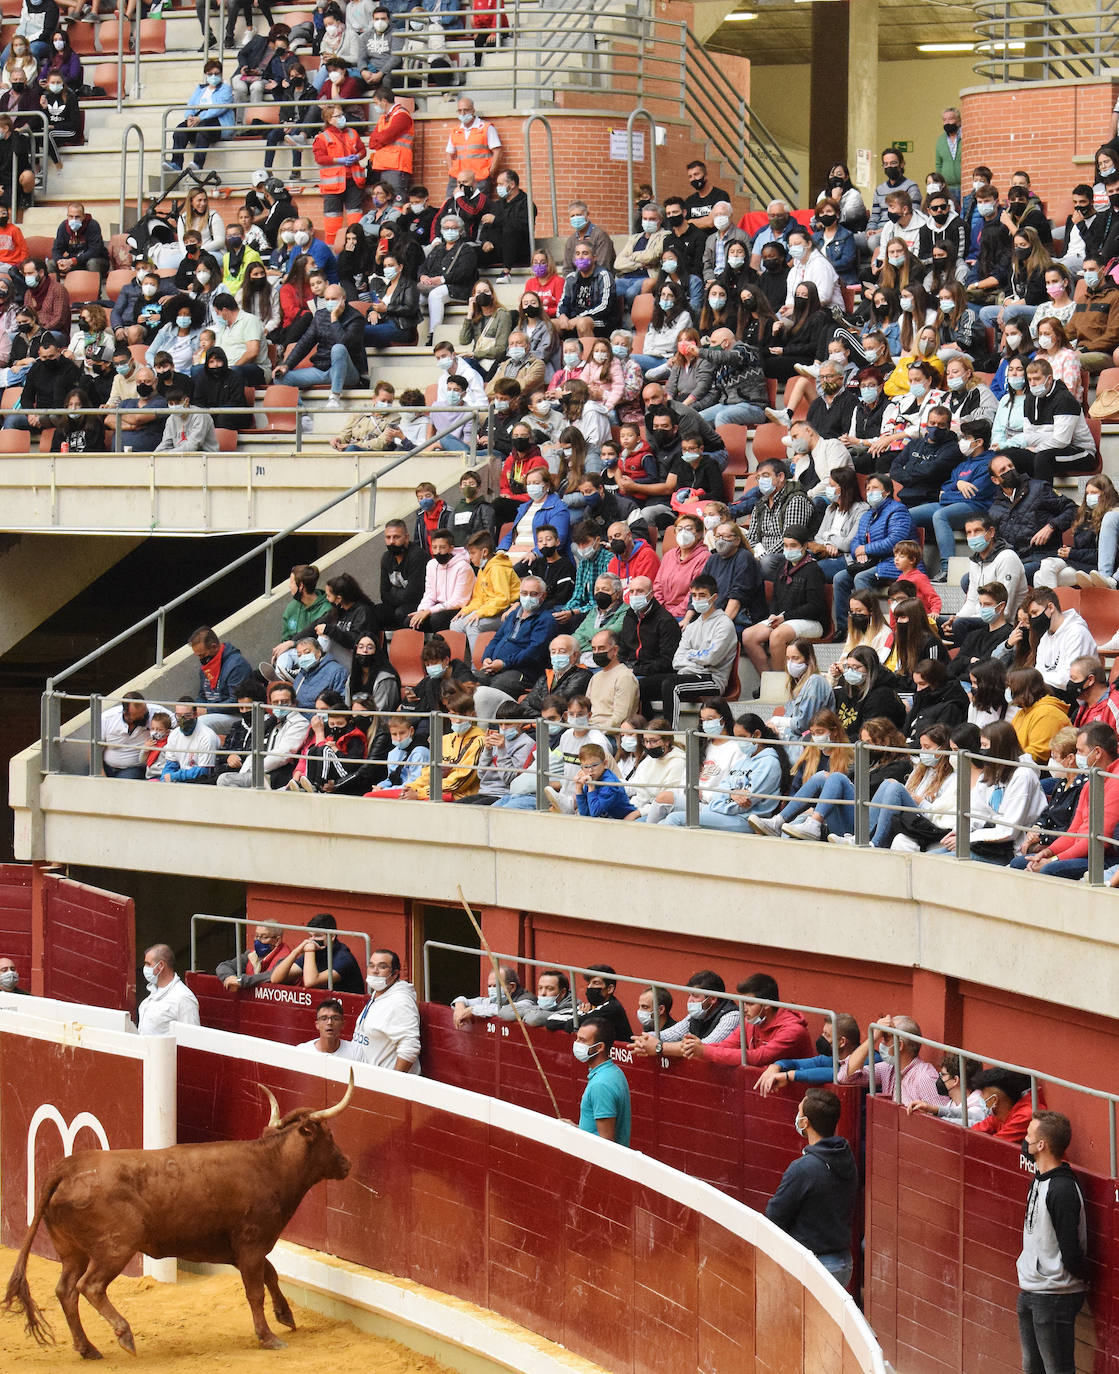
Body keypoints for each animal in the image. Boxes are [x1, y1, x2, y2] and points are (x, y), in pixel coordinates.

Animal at [3, 1071, 354, 1352]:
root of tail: (68, 1167)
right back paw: (124, 1335)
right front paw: (268, 1336)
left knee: (65, 1291)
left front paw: (286, 1316)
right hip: (116, 1247)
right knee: (89, 1286)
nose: (347, 1164)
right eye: (329, 1135)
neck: (269, 1165)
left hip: (72, 1251)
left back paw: (87, 1348)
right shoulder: (251, 1243)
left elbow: (271, 1274)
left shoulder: (242, 1249)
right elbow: (255, 1290)